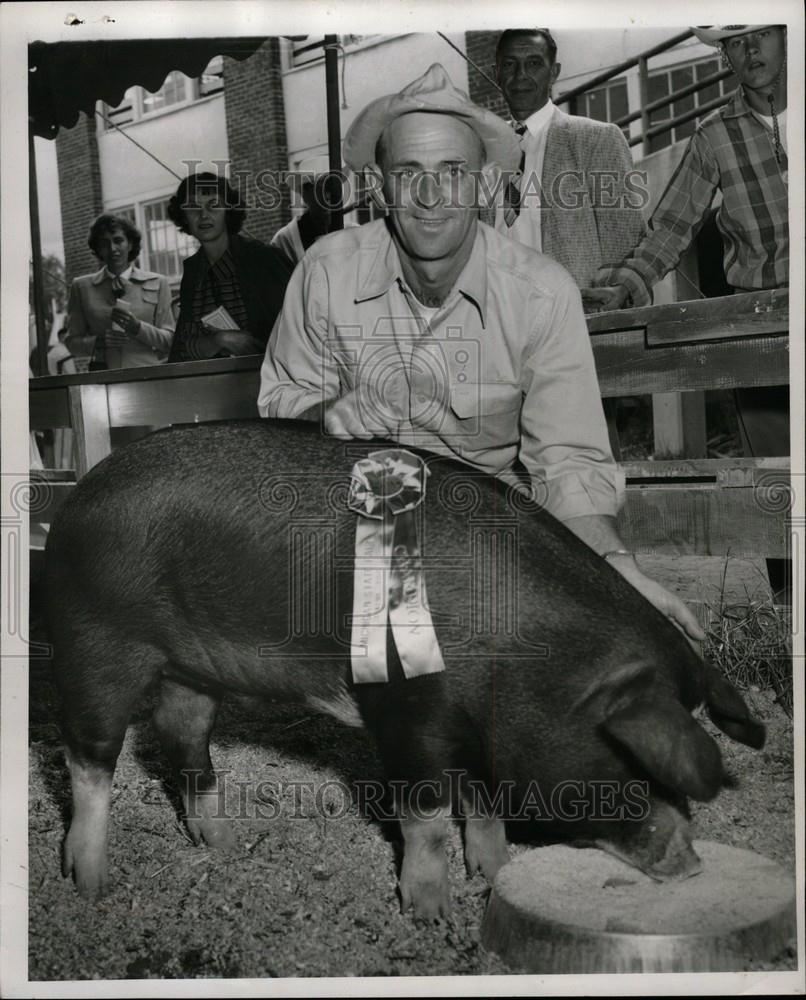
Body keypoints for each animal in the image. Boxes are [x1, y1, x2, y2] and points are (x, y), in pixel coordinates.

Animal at [47, 418, 768, 916]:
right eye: (627, 765)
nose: (692, 865)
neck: (529, 671)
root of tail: (77, 497)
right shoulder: (404, 710)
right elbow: (424, 817)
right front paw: (429, 913)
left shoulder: (478, 731)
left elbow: (481, 803)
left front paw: (492, 875)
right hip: (95, 641)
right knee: (88, 757)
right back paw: (91, 885)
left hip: (190, 669)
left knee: (182, 741)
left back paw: (222, 846)